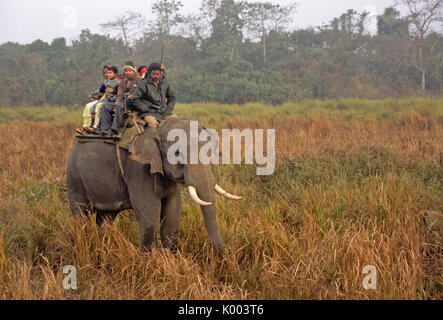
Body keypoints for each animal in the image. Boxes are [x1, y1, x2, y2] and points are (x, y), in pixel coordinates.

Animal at [67, 116, 243, 254]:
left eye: (210, 151)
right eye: (177, 153)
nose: (227, 254)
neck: (158, 128)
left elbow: (172, 213)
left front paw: (168, 258)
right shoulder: (138, 169)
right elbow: (149, 213)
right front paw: (150, 261)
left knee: (106, 218)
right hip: (74, 177)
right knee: (80, 215)